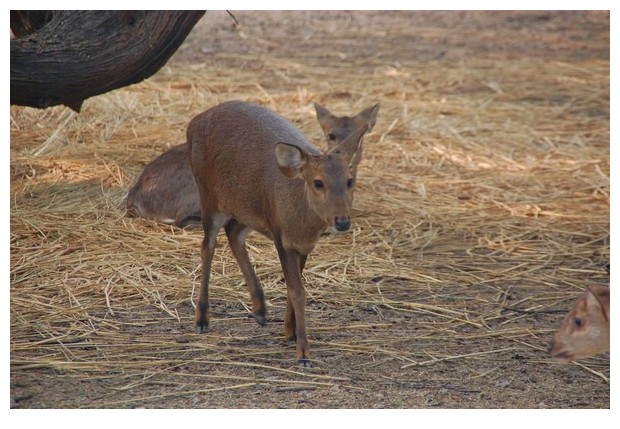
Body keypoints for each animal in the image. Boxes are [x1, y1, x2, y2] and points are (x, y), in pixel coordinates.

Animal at [186, 100, 370, 364]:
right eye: (318, 182)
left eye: (349, 181)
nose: (342, 221)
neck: (300, 223)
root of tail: (194, 122)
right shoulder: (280, 236)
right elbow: (297, 291)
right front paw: (303, 352)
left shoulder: (300, 244)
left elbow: (296, 288)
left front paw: (290, 332)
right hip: (208, 194)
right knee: (207, 246)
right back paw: (201, 319)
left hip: (248, 207)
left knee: (233, 233)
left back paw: (260, 309)